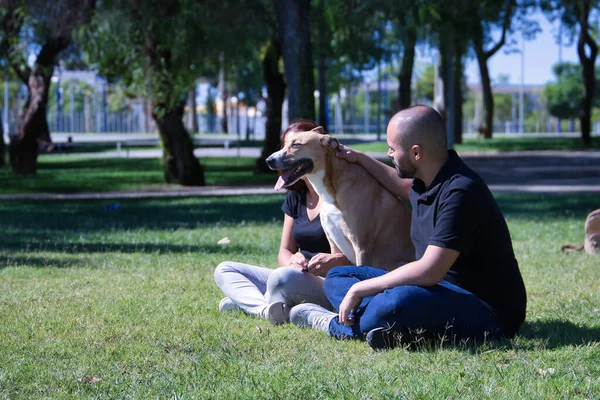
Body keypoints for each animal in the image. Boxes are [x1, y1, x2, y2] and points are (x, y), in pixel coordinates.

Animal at [264, 128, 414, 272]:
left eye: (296, 145)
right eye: (285, 145)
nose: (268, 160)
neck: (332, 193)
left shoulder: (362, 247)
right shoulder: (333, 244)